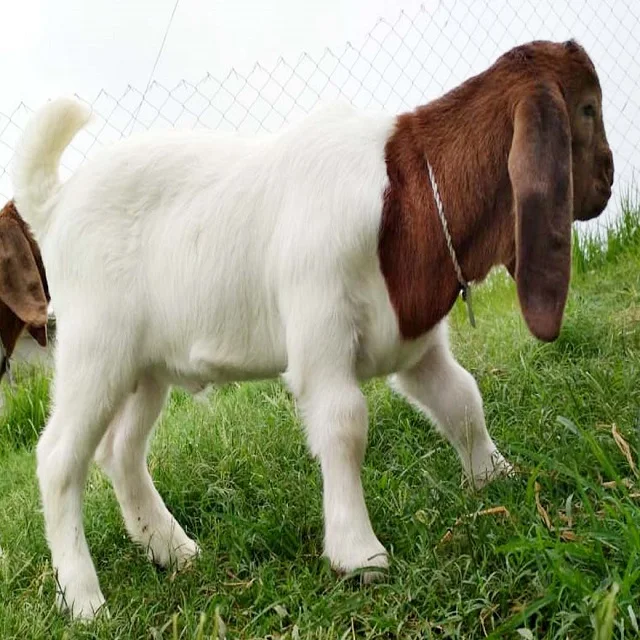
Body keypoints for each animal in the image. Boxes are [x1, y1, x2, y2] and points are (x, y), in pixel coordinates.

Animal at [13, 39, 613, 619]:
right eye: (587, 108)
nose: (609, 182)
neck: (405, 192)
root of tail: (55, 206)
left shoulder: (414, 344)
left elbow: (461, 398)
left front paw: (497, 478)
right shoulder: (321, 327)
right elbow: (343, 424)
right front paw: (360, 554)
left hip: (145, 368)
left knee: (121, 451)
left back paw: (173, 550)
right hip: (96, 350)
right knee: (59, 460)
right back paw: (85, 600)